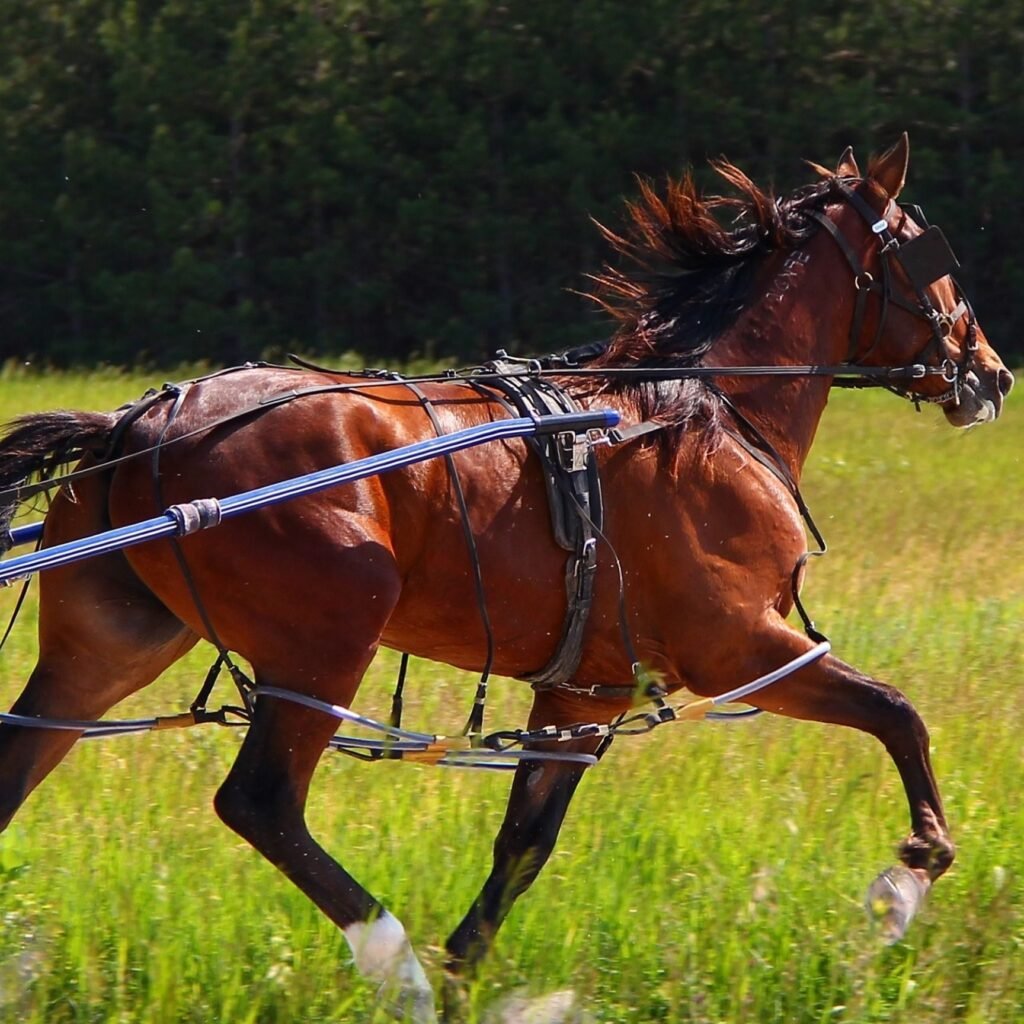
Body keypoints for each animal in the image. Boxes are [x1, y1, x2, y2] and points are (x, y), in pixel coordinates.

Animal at [0, 134, 1012, 1021]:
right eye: (930, 255)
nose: (992, 374)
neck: (702, 416)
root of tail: (140, 426)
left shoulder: (586, 691)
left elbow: (524, 845)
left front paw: (462, 976)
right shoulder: (739, 646)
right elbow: (898, 714)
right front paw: (901, 885)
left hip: (114, 641)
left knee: (24, 756)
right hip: (327, 641)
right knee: (261, 804)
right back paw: (392, 965)